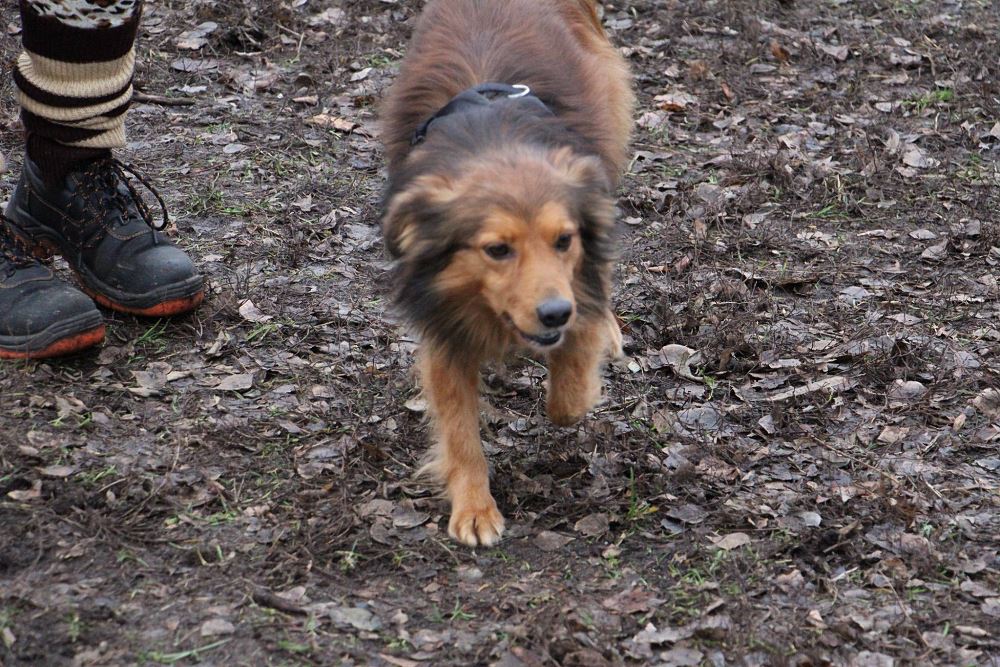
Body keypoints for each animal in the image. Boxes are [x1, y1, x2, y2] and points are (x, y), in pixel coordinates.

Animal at [380, 0, 633, 546]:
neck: (495, 143)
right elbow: (460, 431)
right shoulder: (444, 331)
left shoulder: (579, 284)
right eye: (497, 249)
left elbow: (569, 397)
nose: (555, 313)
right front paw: (475, 508)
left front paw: (580, 376)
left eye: (564, 240)